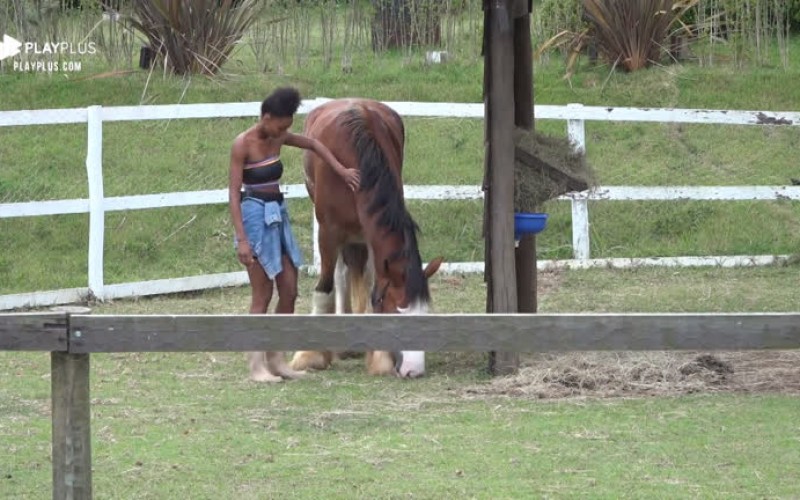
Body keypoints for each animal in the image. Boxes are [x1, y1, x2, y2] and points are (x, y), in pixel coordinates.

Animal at [289, 98, 443, 378]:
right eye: (397, 311)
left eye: (425, 312)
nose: (414, 370)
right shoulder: (328, 232)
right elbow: (325, 288)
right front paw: (310, 355)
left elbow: (374, 285)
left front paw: (379, 357)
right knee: (339, 274)